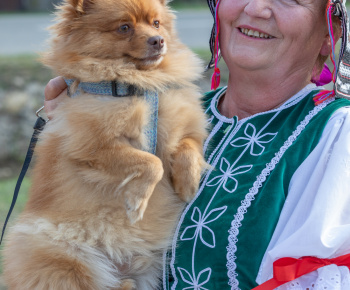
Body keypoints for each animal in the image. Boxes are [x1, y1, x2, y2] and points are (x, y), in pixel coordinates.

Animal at [2, 0, 208, 290]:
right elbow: (152, 163)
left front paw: (188, 184)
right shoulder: (94, 147)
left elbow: (188, 147)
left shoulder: (185, 124)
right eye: (124, 28)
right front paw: (137, 201)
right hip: (65, 261)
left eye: (156, 23)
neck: (138, 86)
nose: (159, 40)